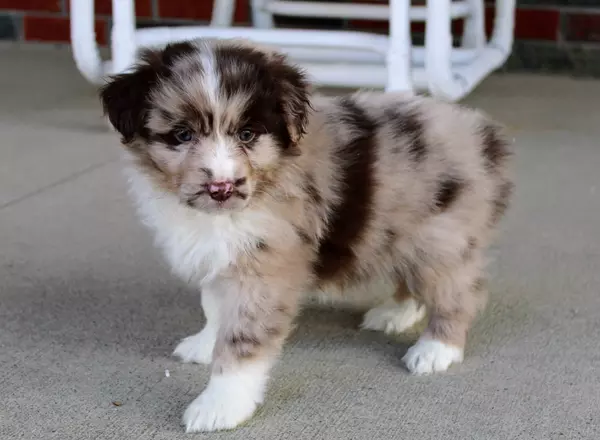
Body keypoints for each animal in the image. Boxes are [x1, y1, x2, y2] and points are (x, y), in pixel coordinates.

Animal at [98, 38, 510, 434]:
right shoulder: (224, 257)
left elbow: (242, 339)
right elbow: (214, 307)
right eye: (182, 134)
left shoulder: (265, 269)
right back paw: (395, 313)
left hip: (442, 238)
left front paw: (220, 406)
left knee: (458, 292)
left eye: (247, 134)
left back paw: (436, 349)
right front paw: (205, 343)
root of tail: (485, 137)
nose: (222, 188)